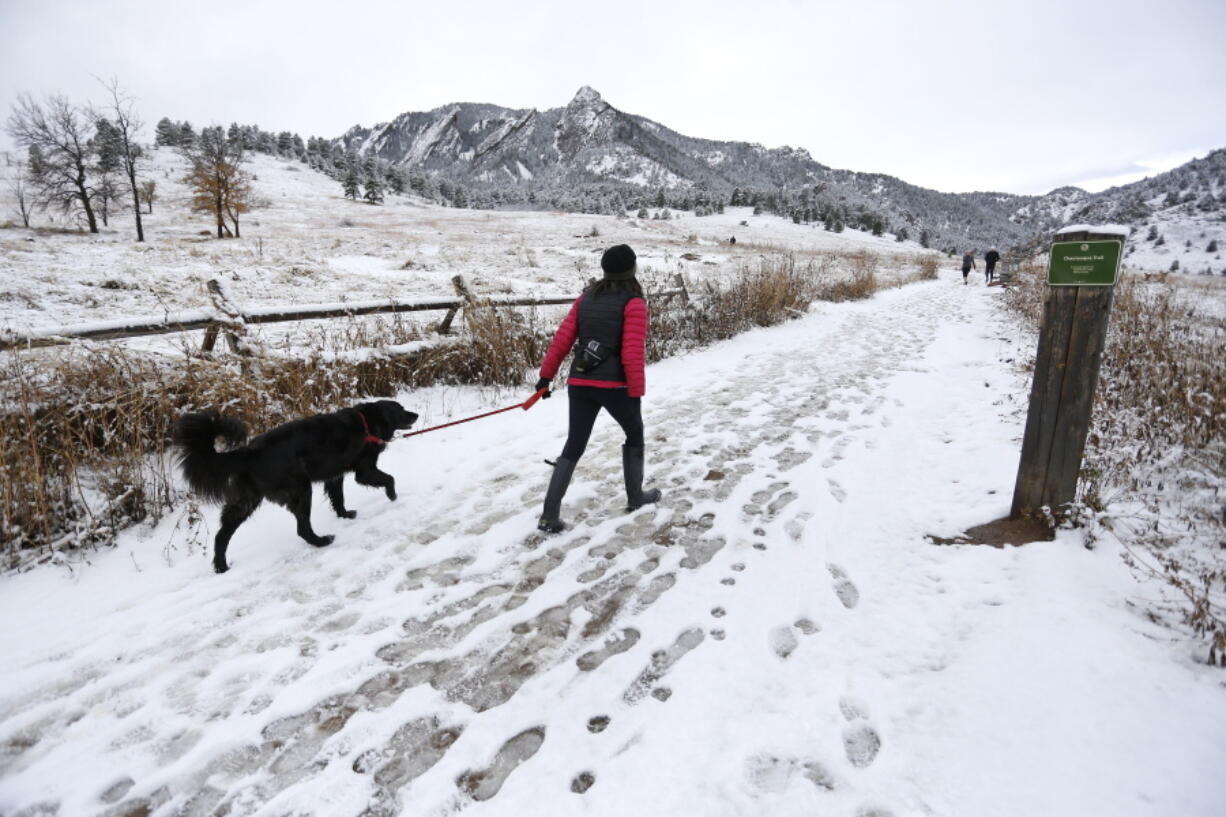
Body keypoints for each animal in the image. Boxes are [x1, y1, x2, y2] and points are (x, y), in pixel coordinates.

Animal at [172, 397, 419, 569]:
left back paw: (221, 566)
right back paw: (321, 541)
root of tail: (250, 451)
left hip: (246, 500)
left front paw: (345, 515)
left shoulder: (334, 475)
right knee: (302, 528)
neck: (367, 421)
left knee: (222, 534)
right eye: (400, 410)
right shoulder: (364, 470)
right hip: (300, 489)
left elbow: (338, 498)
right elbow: (389, 478)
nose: (415, 414)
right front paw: (393, 496)